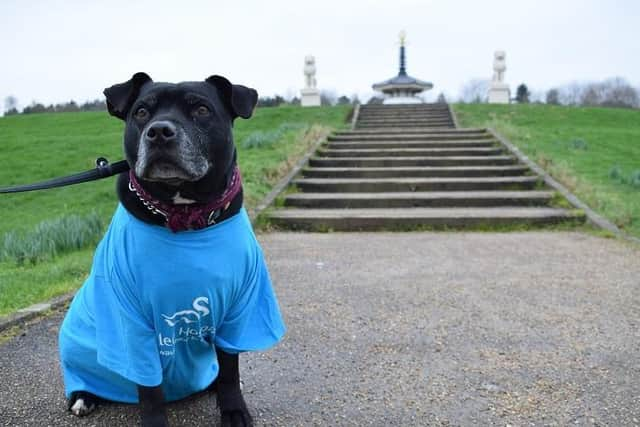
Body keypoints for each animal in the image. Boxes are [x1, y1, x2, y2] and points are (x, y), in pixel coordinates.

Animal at [59, 74, 284, 427]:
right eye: (141, 112)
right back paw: (83, 396)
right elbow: (150, 389)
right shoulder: (131, 321)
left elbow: (230, 370)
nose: (159, 131)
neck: (184, 214)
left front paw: (234, 410)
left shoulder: (240, 308)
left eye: (202, 109)